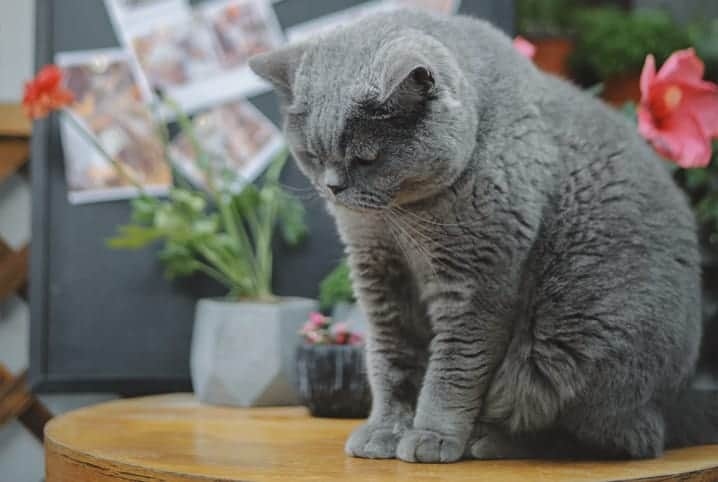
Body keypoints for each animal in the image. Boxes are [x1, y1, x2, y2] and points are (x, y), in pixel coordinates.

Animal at [249, 6, 718, 460]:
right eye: (312, 155)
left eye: (366, 158)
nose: (332, 186)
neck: (401, 222)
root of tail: (677, 399)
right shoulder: (378, 274)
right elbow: (391, 359)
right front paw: (386, 430)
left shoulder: (476, 283)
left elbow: (453, 370)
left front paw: (432, 436)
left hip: (576, 345)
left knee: (620, 437)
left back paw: (491, 442)